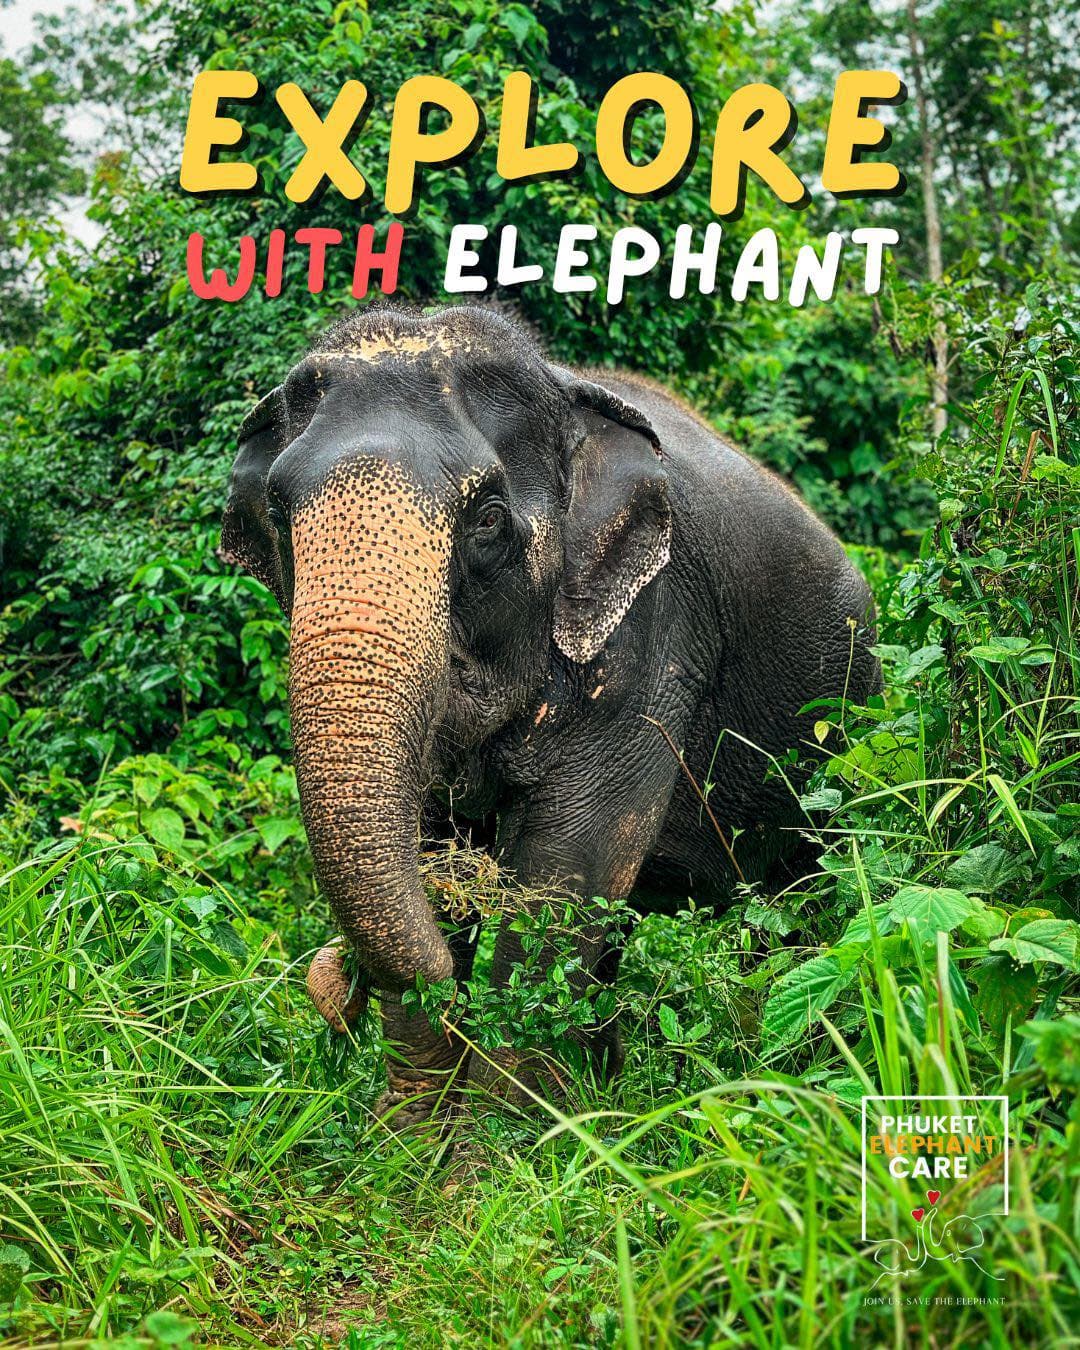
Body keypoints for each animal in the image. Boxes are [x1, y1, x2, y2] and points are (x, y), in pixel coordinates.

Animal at [221, 303, 880, 1123]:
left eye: (488, 519)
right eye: (279, 512)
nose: (335, 982)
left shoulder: (656, 633)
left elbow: (568, 871)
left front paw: (502, 1147)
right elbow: (433, 840)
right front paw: (412, 1138)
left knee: (804, 902)